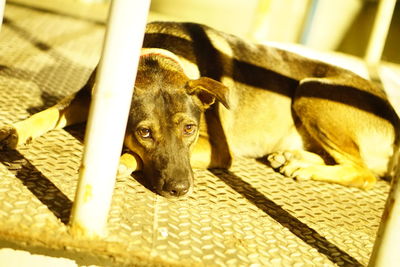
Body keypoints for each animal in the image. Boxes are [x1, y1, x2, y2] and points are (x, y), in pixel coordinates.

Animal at [0, 22, 400, 199]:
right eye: (144, 132)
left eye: (190, 129)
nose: (179, 190)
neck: (157, 60)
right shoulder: (88, 96)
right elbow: (48, 112)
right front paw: (15, 131)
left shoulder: (218, 150)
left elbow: (135, 157)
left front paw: (119, 162)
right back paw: (293, 158)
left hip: (311, 90)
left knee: (365, 173)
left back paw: (302, 166)